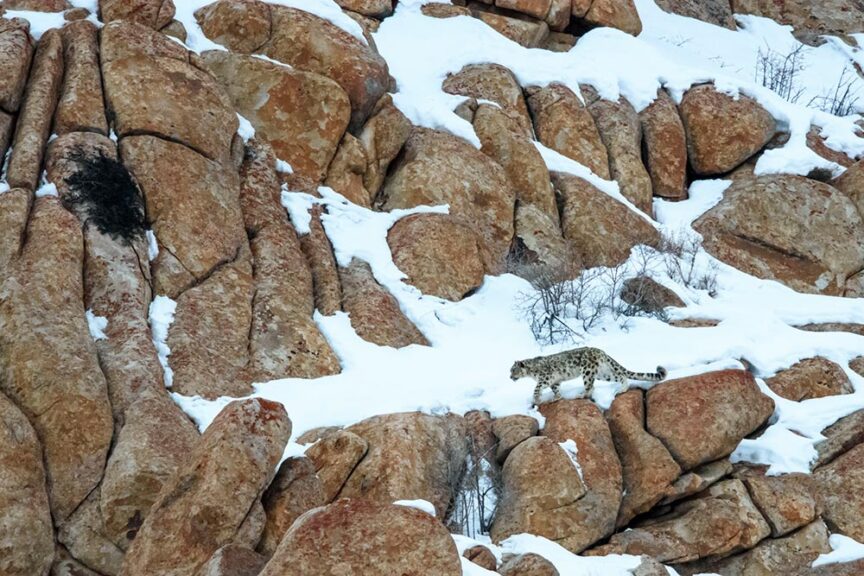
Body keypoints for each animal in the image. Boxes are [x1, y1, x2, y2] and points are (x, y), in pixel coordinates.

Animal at [510, 347, 667, 405]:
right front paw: (557, 397)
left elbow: (536, 388)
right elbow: (556, 389)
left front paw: (537, 399)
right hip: (603, 374)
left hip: (587, 371)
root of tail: (600, 351)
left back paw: (580, 395)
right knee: (621, 376)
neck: (531, 373)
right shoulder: (554, 381)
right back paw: (622, 389)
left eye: (513, 370)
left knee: (589, 387)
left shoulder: (545, 378)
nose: (510, 377)